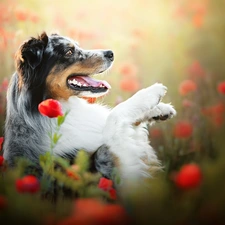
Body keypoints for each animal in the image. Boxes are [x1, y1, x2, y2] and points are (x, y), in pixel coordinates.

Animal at [2, 32, 177, 185]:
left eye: (78, 46)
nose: (110, 53)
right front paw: (151, 93)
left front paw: (160, 109)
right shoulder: (114, 164)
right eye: (69, 51)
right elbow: (113, 117)